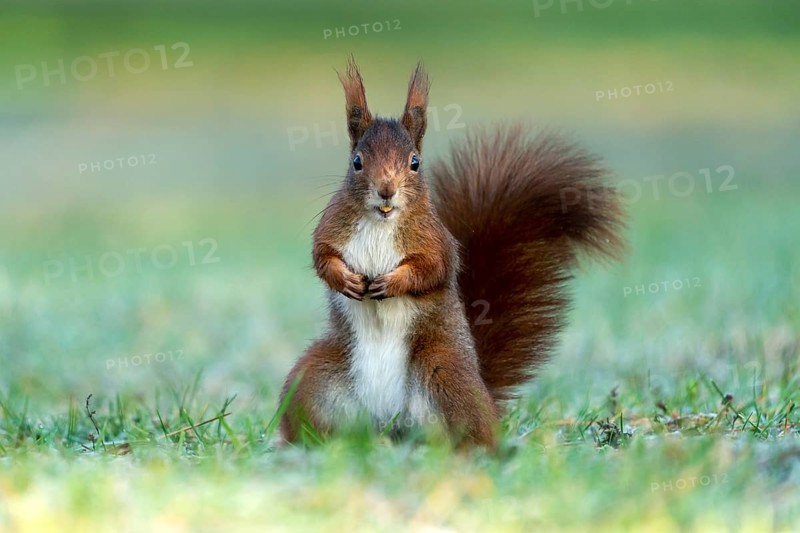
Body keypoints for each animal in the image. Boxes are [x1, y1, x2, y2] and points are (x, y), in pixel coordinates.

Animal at [279, 58, 625, 448]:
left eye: (414, 162)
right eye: (356, 161)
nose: (386, 191)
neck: (381, 221)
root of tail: (387, 422)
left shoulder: (436, 242)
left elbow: (433, 269)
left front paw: (393, 282)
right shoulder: (331, 229)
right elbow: (322, 258)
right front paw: (346, 280)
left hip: (445, 376)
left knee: (469, 433)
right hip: (313, 381)